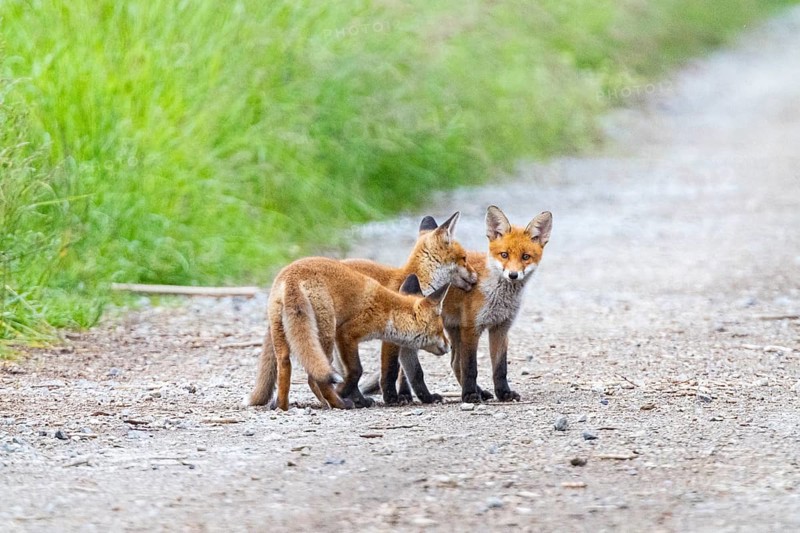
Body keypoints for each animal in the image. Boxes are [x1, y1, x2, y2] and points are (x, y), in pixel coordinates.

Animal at [267, 257, 450, 411]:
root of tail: (292, 277)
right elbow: (357, 371)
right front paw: (345, 393)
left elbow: (415, 373)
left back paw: (282, 405)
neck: (388, 310)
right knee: (314, 378)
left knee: (285, 365)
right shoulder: (346, 334)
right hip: (325, 336)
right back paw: (339, 403)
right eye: (441, 329)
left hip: (283, 335)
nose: (449, 346)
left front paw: (428, 398)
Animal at [368, 206, 552, 403]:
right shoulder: (471, 327)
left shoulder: (501, 328)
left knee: (454, 363)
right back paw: (406, 395)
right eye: (504, 255)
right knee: (415, 367)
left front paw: (503, 393)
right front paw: (470, 394)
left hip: (452, 330)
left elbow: (500, 369)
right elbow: (470, 367)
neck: (498, 296)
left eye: (526, 257)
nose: (513, 275)